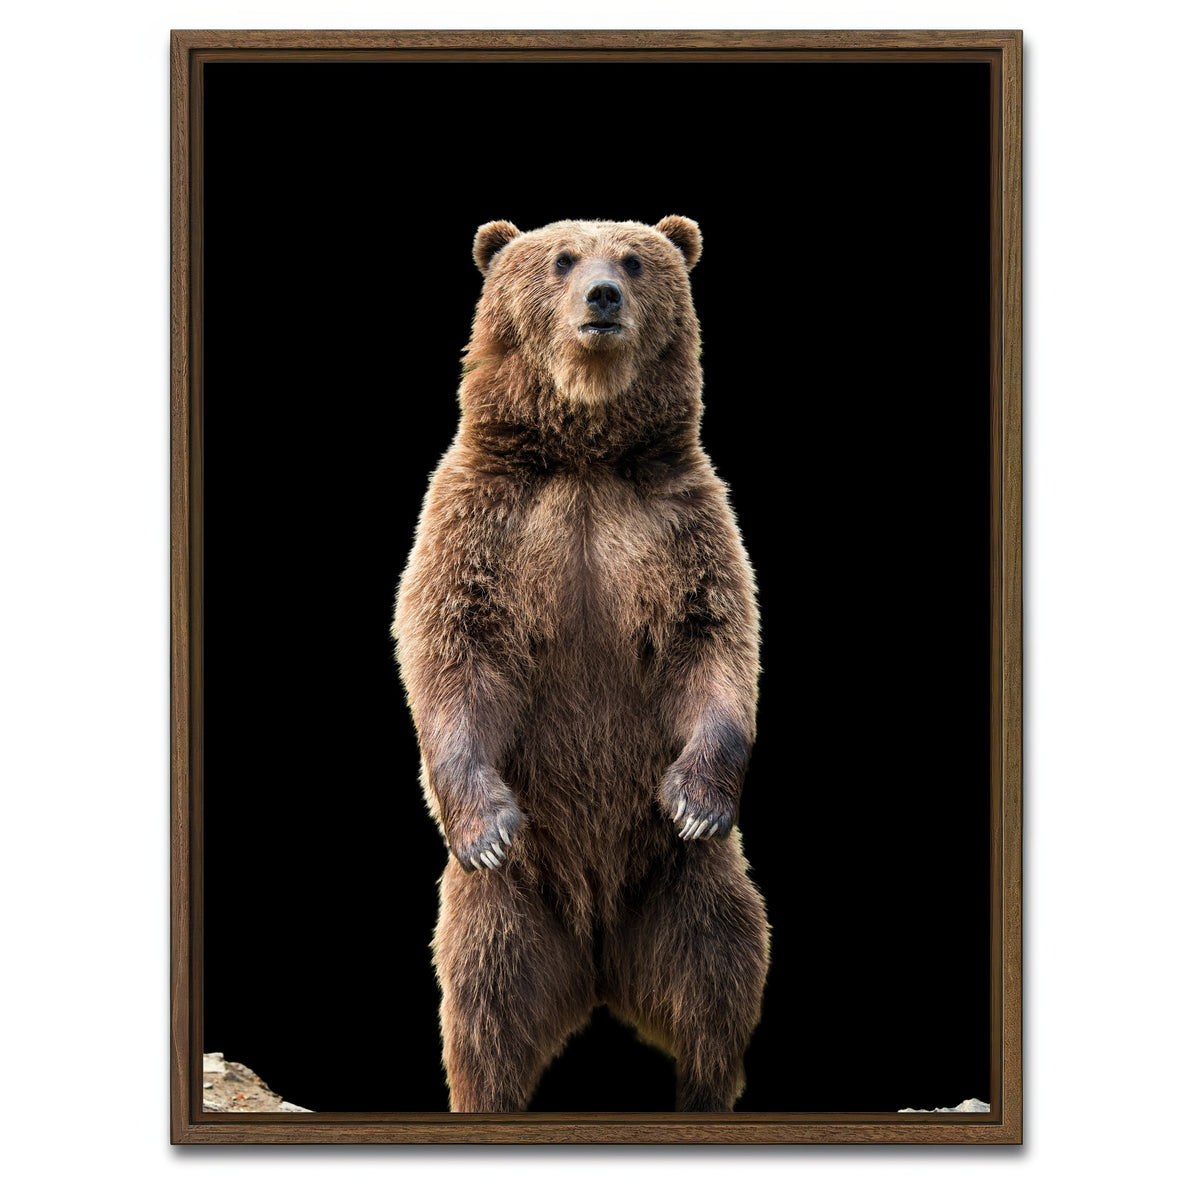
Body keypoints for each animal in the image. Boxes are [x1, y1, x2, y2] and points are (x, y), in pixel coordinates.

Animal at [392, 216, 769, 1113]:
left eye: (633, 259)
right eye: (562, 259)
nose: (602, 296)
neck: (586, 454)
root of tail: (597, 963)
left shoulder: (678, 523)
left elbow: (713, 643)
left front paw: (696, 799)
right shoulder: (484, 520)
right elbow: (455, 651)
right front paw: (488, 825)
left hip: (683, 886)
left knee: (719, 975)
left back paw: (702, 1090)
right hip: (512, 910)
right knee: (484, 1007)